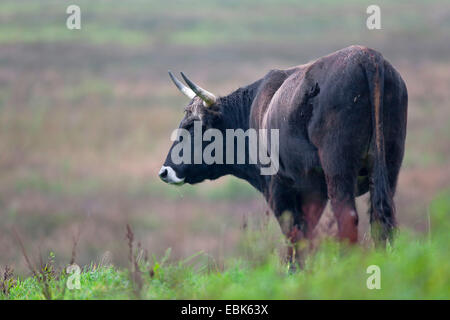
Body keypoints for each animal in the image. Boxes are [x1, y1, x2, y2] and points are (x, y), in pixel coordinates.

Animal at [159, 45, 408, 264]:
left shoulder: (279, 189)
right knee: (381, 218)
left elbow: (294, 235)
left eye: (193, 126)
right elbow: (305, 234)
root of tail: (367, 57)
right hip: (389, 164)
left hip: (338, 168)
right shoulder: (313, 192)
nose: (164, 171)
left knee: (347, 218)